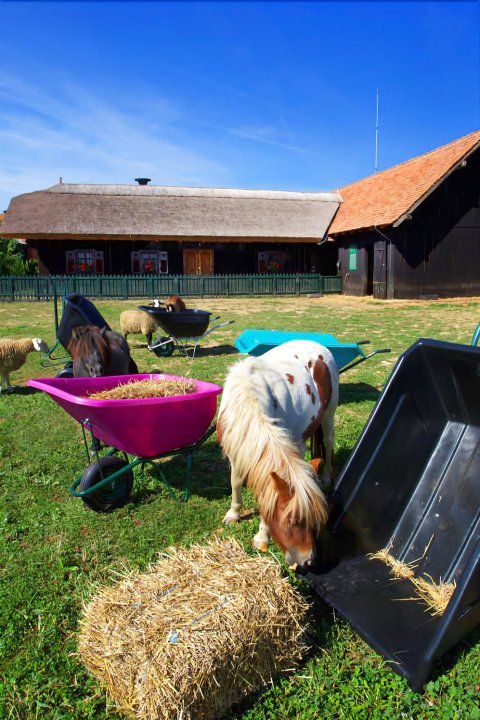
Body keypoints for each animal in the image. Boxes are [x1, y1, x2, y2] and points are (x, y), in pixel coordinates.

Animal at [218, 340, 338, 572]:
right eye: (293, 521)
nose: (308, 560)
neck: (248, 398)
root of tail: (319, 345)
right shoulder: (237, 448)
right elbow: (235, 481)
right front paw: (233, 513)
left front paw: (261, 536)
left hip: (329, 413)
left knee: (328, 443)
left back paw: (327, 476)